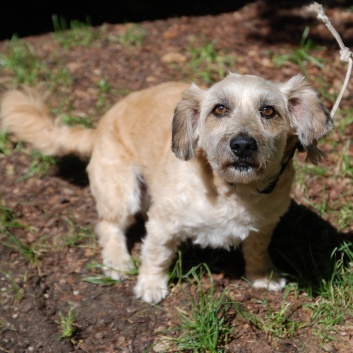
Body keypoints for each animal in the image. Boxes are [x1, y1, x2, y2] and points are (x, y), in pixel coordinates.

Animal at [0, 72, 332, 302]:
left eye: (268, 111)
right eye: (219, 109)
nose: (242, 145)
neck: (232, 191)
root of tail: (99, 126)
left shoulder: (265, 224)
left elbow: (258, 250)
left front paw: (263, 276)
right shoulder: (163, 223)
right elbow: (156, 256)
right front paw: (150, 285)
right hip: (123, 192)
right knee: (108, 226)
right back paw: (118, 261)